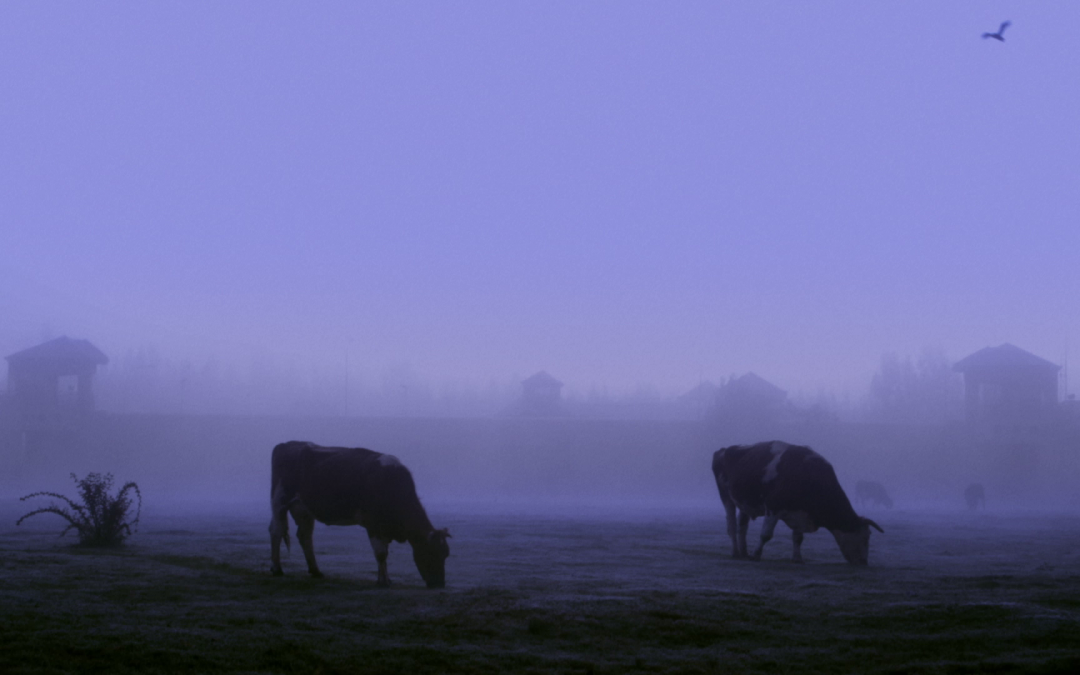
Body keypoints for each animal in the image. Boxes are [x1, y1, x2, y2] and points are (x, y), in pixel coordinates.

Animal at [274, 440, 455, 587]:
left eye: (445, 554)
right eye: (430, 553)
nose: (439, 585)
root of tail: (287, 444)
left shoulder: (384, 527)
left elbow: (384, 553)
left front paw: (386, 578)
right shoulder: (373, 524)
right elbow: (381, 554)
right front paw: (383, 581)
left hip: (303, 509)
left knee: (305, 536)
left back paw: (315, 571)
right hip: (280, 501)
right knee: (276, 531)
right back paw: (277, 569)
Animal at [712, 440, 881, 565]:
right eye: (866, 537)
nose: (863, 562)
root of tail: (723, 450)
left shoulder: (800, 513)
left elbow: (798, 538)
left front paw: (797, 558)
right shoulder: (773, 507)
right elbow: (766, 535)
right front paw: (756, 555)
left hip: (744, 503)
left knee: (742, 526)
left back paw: (744, 552)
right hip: (726, 497)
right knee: (732, 525)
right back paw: (736, 552)